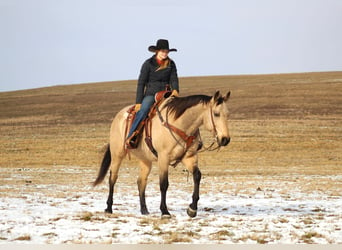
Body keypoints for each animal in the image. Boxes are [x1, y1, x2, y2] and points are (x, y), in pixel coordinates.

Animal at [93, 90, 231, 217]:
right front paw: (164, 211)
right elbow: (164, 184)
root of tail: (119, 115)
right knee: (113, 178)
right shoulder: (163, 158)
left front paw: (192, 209)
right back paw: (109, 208)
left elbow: (197, 176)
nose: (225, 139)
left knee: (141, 181)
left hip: (145, 160)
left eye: (227, 114)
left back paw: (144, 210)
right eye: (216, 114)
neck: (179, 125)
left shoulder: (189, 157)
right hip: (117, 154)